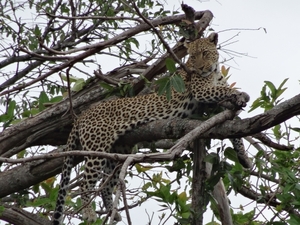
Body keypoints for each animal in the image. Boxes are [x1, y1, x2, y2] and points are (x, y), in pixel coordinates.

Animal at [52, 32, 250, 225]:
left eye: (205, 53)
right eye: (193, 57)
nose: (201, 69)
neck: (215, 71)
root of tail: (82, 115)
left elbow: (235, 126)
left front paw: (244, 158)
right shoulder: (202, 91)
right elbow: (222, 91)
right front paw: (240, 93)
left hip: (117, 151)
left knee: (106, 183)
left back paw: (112, 212)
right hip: (97, 147)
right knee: (86, 183)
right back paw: (89, 214)